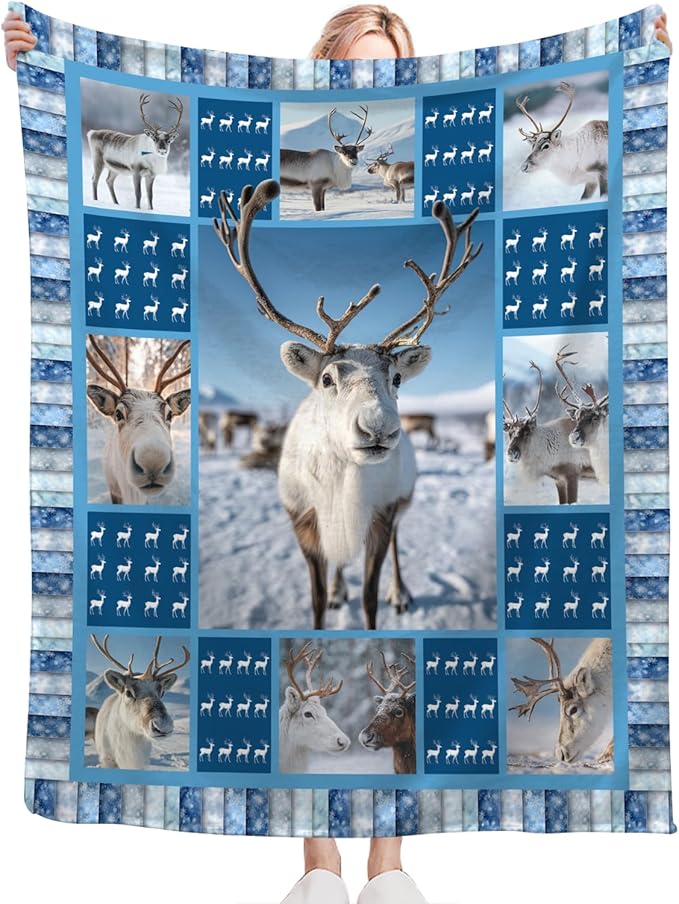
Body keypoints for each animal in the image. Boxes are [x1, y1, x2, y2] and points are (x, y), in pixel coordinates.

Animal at [212, 179, 482, 628]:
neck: (341, 484)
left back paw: (400, 593)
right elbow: (317, 599)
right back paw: (342, 589)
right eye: (326, 379)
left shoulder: (383, 515)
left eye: (396, 379)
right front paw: (330, 602)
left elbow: (371, 597)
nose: (378, 428)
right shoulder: (303, 520)